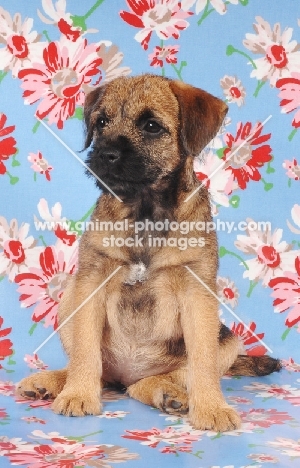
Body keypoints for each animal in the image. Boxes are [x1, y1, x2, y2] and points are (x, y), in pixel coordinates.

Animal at [17, 74, 282, 432]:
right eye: (101, 122)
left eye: (152, 126)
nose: (106, 153)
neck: (144, 210)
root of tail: (128, 374)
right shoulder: (91, 283)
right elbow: (86, 352)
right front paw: (78, 394)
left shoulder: (197, 294)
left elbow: (202, 362)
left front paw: (211, 408)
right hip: (70, 295)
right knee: (100, 372)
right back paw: (53, 382)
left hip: (229, 340)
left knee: (158, 380)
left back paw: (166, 392)